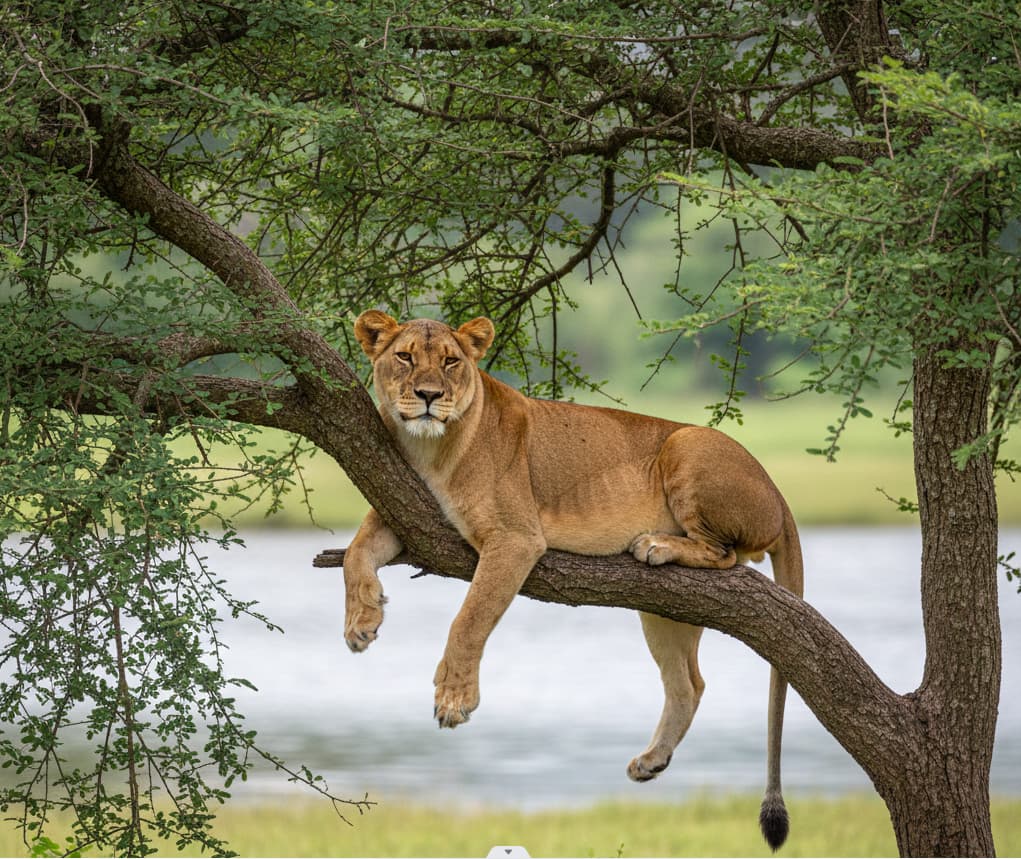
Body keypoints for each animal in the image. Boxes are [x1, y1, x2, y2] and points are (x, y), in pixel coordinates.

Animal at [343, 310, 804, 850]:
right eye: (405, 356)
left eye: (451, 361)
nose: (430, 395)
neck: (427, 448)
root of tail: (778, 492)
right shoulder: (402, 511)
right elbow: (355, 552)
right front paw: (361, 621)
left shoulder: (516, 538)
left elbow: (469, 619)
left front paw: (454, 698)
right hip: (666, 609)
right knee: (688, 683)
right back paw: (652, 760)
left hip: (686, 444)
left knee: (726, 555)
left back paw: (657, 544)